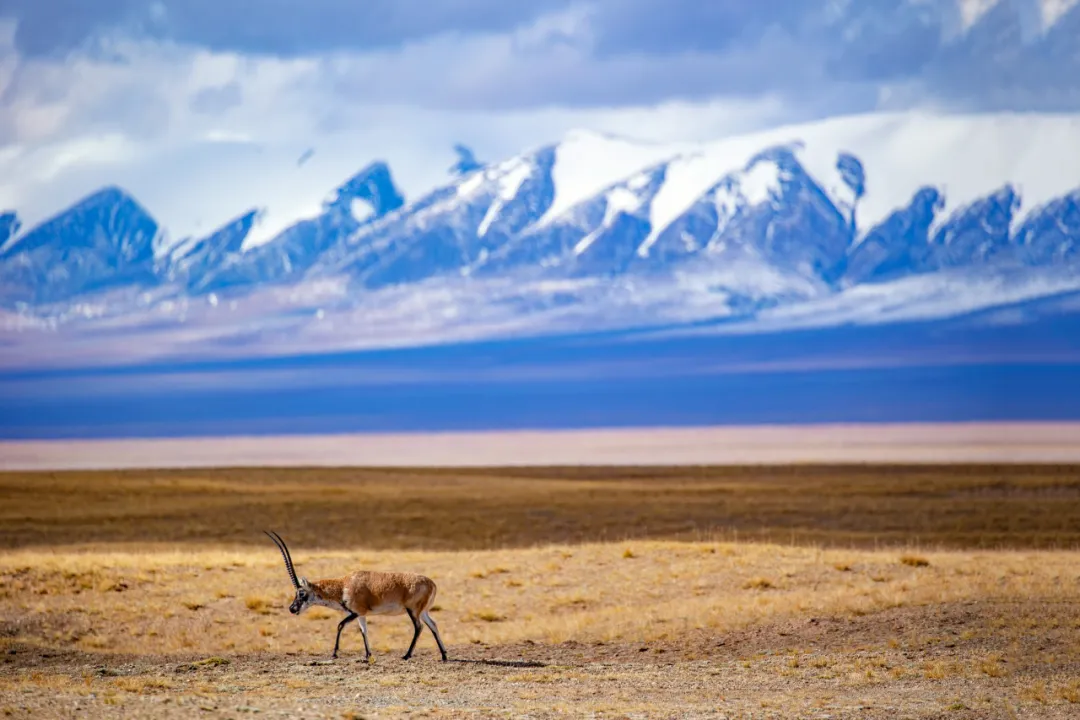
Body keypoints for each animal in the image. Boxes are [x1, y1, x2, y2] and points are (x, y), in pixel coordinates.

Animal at [262, 528, 447, 664]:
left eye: (301, 592)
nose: (292, 609)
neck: (343, 585)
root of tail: (431, 583)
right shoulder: (361, 615)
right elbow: (363, 631)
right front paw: (367, 656)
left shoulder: (355, 612)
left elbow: (340, 625)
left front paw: (335, 654)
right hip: (423, 611)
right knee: (433, 625)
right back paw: (444, 655)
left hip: (413, 611)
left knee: (419, 627)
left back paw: (407, 655)